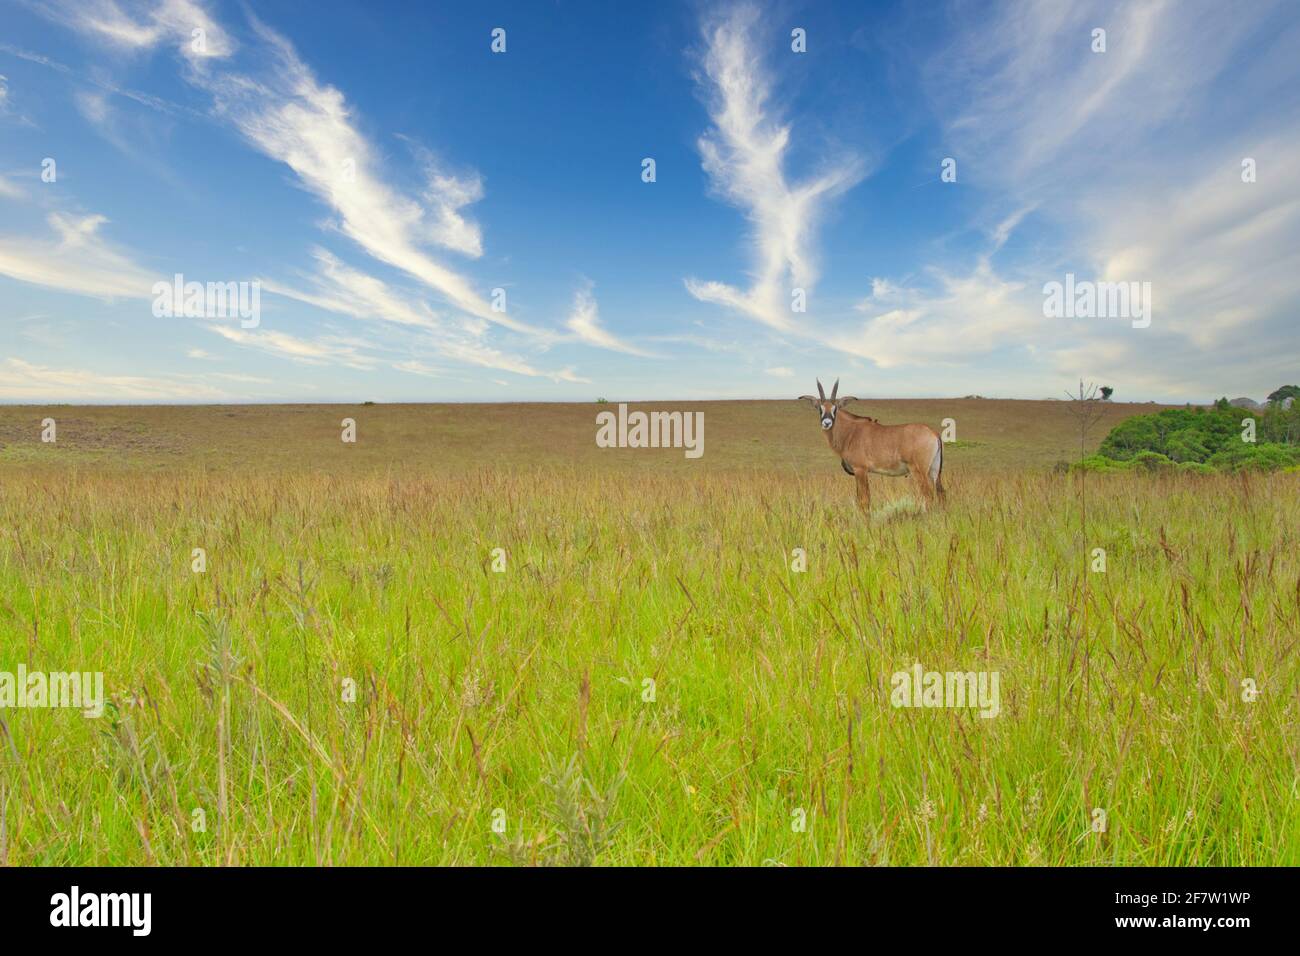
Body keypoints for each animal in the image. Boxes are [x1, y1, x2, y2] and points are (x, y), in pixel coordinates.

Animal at [790, 377, 946, 512]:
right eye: (820, 409)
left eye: (835, 408)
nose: (826, 423)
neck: (850, 432)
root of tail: (933, 433)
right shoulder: (858, 472)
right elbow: (861, 499)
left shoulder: (860, 470)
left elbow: (864, 500)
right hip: (934, 472)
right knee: (941, 494)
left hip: (919, 471)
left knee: (928, 496)